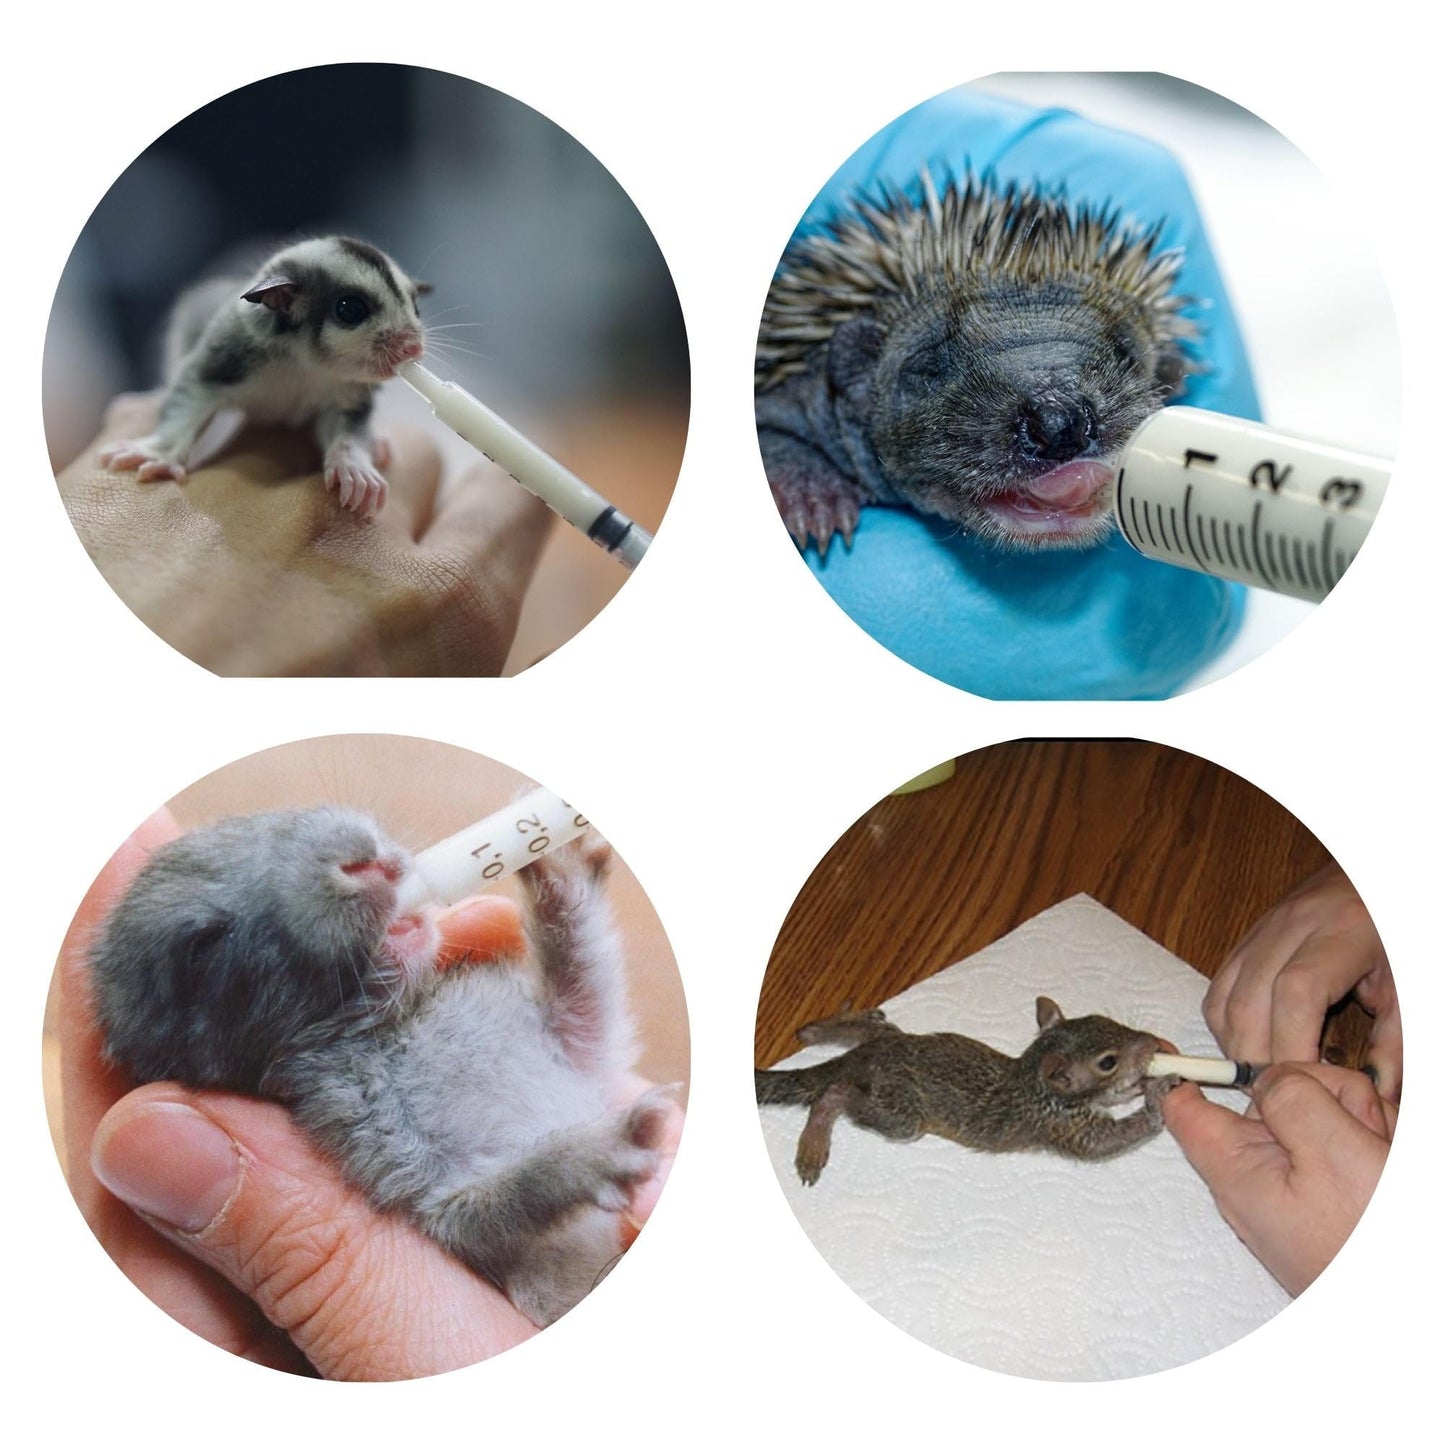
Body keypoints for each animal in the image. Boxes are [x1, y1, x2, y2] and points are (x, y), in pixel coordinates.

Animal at [756, 997, 1180, 1184]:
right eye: (1107, 1062)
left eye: (1103, 1019)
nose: (1152, 1043)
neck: (1032, 1081)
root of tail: (863, 1059)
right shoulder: (1063, 1127)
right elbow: (1107, 1141)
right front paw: (1158, 1092)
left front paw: (1146, 1081)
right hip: (900, 1115)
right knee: (833, 1094)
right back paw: (813, 1143)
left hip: (883, 1040)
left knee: (862, 1031)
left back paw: (817, 1028)